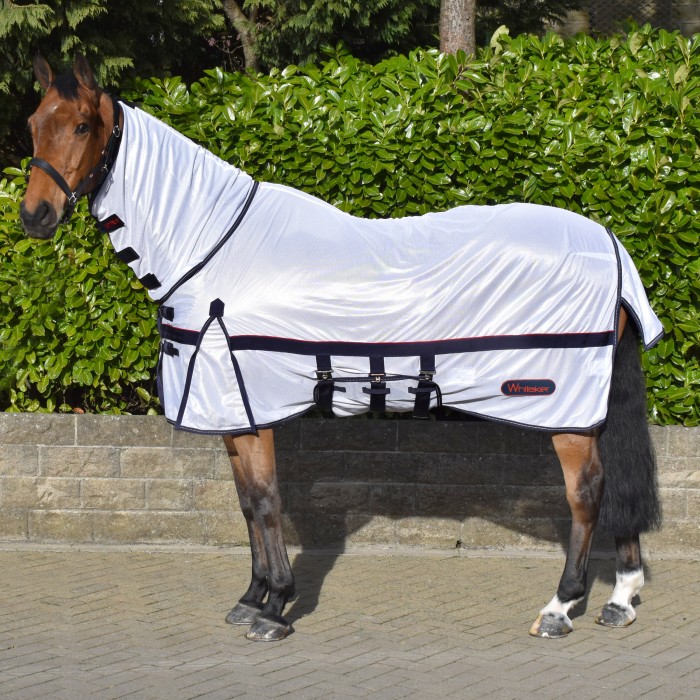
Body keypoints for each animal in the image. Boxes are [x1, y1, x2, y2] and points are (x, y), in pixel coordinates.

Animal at [20, 55, 662, 642]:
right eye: (33, 123)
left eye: (82, 126)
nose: (34, 215)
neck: (211, 247)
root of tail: (610, 244)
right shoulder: (231, 414)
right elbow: (247, 504)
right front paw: (252, 598)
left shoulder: (253, 411)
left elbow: (266, 502)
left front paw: (276, 607)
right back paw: (620, 598)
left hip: (566, 411)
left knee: (588, 493)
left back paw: (561, 606)